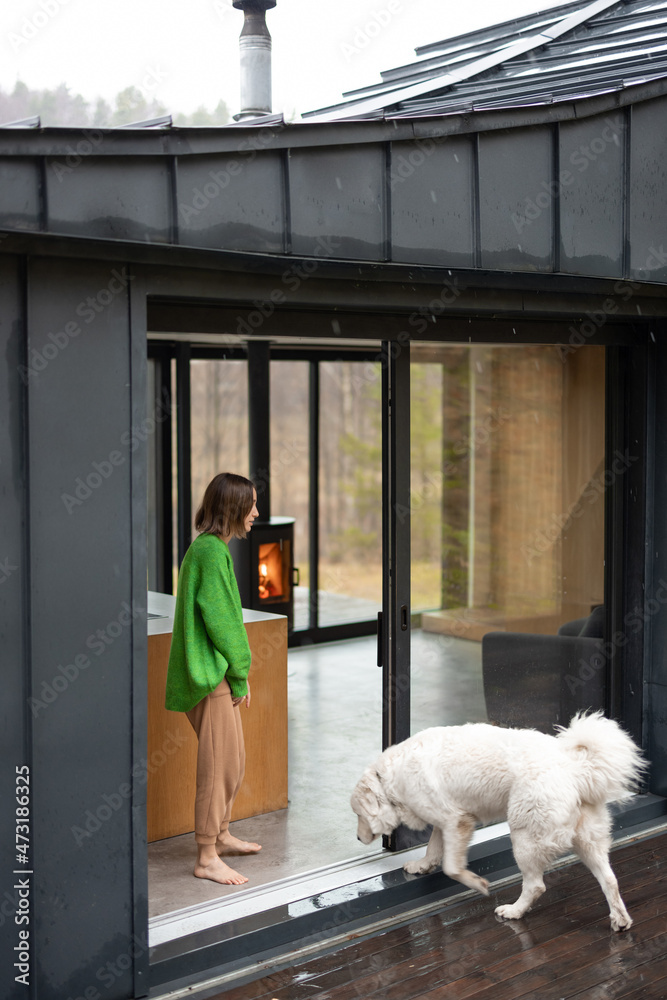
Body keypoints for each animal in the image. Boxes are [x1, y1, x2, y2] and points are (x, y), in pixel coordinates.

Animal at [352, 712, 644, 928]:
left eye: (357, 814)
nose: (356, 837)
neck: (389, 779)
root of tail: (575, 768)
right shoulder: (445, 820)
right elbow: (433, 848)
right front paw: (422, 866)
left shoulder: (457, 821)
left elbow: (451, 867)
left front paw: (477, 884)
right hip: (587, 843)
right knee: (610, 880)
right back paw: (620, 920)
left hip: (524, 838)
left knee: (536, 885)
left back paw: (514, 911)